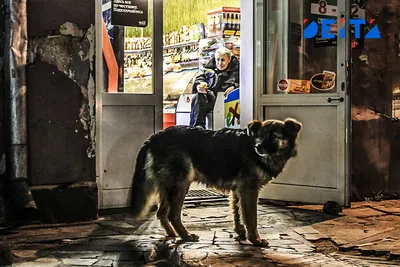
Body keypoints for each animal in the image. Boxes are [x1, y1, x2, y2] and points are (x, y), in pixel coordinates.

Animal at [130, 118, 302, 248]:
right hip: (181, 184)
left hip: (169, 187)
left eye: (273, 136)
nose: (258, 146)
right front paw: (255, 239)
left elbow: (238, 213)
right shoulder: (249, 190)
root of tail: (155, 138)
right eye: (260, 136)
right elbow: (251, 217)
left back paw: (172, 233)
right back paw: (185, 235)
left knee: (161, 212)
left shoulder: (238, 191)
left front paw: (240, 232)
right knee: (173, 214)